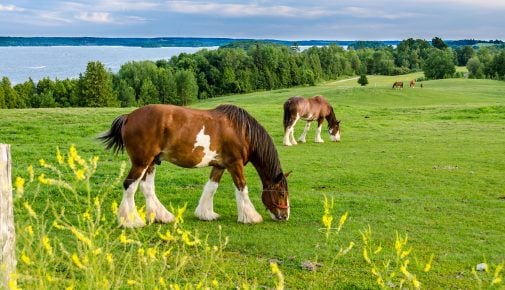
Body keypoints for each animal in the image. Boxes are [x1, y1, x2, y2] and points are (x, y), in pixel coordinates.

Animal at [98, 103, 290, 228]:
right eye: (281, 193)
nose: (285, 216)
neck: (242, 131)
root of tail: (128, 117)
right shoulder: (235, 165)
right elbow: (242, 188)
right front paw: (250, 216)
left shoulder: (220, 165)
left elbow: (211, 187)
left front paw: (206, 213)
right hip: (142, 161)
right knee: (130, 185)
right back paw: (131, 221)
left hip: (151, 162)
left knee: (147, 187)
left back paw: (161, 216)